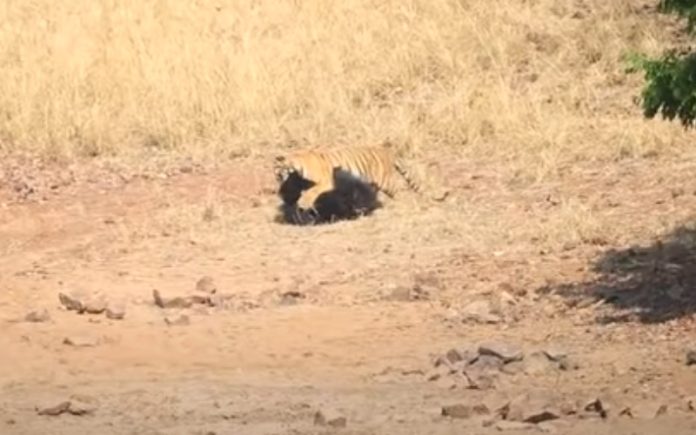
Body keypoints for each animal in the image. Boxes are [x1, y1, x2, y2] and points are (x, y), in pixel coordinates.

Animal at [272, 143, 449, 211]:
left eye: (276, 171)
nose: (277, 183)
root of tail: (388, 152)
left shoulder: (326, 181)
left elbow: (312, 191)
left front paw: (304, 203)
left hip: (386, 182)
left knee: (397, 192)